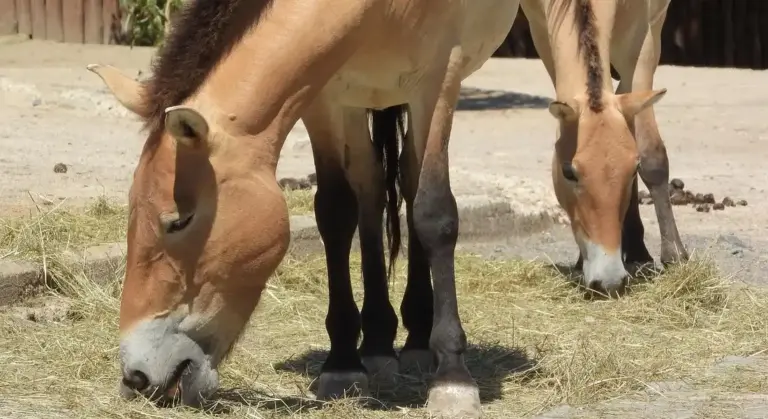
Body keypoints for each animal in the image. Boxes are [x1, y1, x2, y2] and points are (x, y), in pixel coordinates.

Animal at [87, 0, 522, 417]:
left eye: (178, 220)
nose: (137, 377)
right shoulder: (323, 94)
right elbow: (335, 212)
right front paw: (342, 364)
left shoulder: (439, 82)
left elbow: (434, 213)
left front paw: (453, 379)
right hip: (360, 100)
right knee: (373, 187)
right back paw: (378, 345)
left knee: (412, 184)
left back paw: (418, 340)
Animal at [520, 0, 689, 296]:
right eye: (568, 172)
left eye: (632, 170)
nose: (609, 281)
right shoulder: (540, 30)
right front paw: (580, 261)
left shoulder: (642, 41)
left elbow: (651, 156)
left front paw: (674, 256)